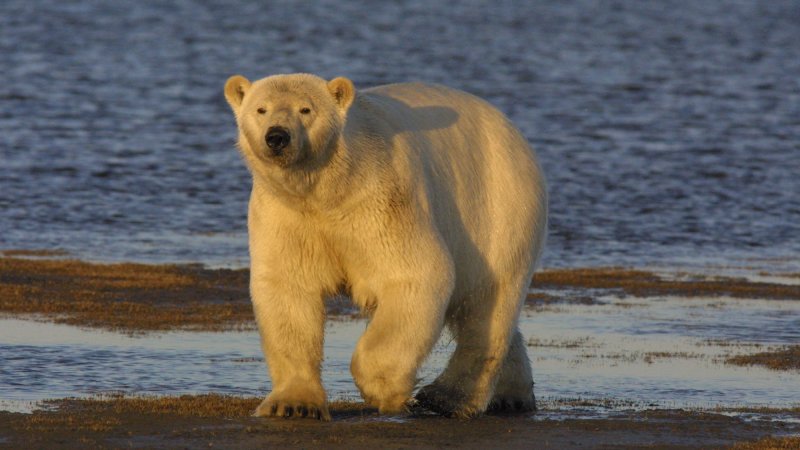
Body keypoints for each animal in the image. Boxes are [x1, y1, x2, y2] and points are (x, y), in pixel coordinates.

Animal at [225, 72, 552, 420]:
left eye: (305, 109)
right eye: (261, 109)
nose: (277, 137)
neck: (328, 189)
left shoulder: (380, 200)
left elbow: (415, 274)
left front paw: (385, 390)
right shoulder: (287, 216)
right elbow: (288, 290)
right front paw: (293, 404)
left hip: (499, 209)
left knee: (488, 302)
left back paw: (446, 397)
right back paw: (512, 394)